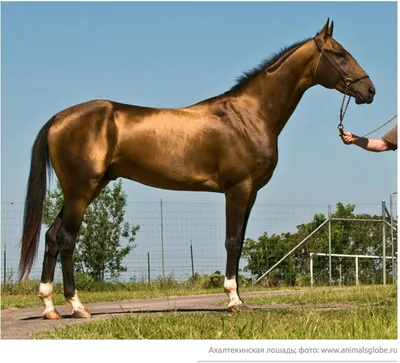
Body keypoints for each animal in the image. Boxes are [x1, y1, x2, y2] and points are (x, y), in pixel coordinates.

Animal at [18, 20, 376, 322]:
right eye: (339, 54)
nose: (369, 91)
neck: (249, 115)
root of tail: (59, 118)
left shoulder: (251, 193)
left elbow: (240, 243)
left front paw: (240, 299)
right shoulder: (237, 189)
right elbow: (232, 241)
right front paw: (233, 301)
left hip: (86, 189)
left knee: (52, 237)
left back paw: (49, 307)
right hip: (81, 190)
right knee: (67, 240)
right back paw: (77, 307)